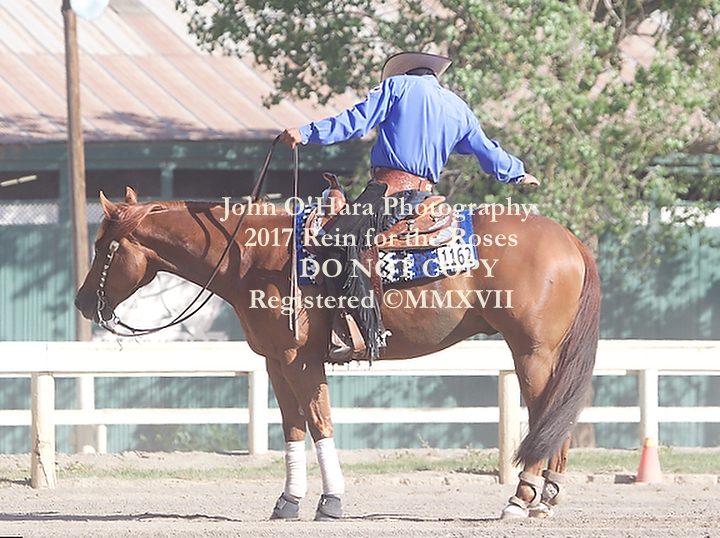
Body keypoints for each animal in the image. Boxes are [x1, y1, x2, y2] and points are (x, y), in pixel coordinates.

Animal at [75, 186, 600, 521]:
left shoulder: (300, 359)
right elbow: (292, 428)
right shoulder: (275, 360)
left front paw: (331, 503)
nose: (81, 302)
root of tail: (570, 239)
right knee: (556, 415)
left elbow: (319, 423)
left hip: (532, 352)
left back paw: (521, 498)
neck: (256, 256)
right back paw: (546, 498)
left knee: (546, 412)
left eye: (103, 247)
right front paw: (287, 503)